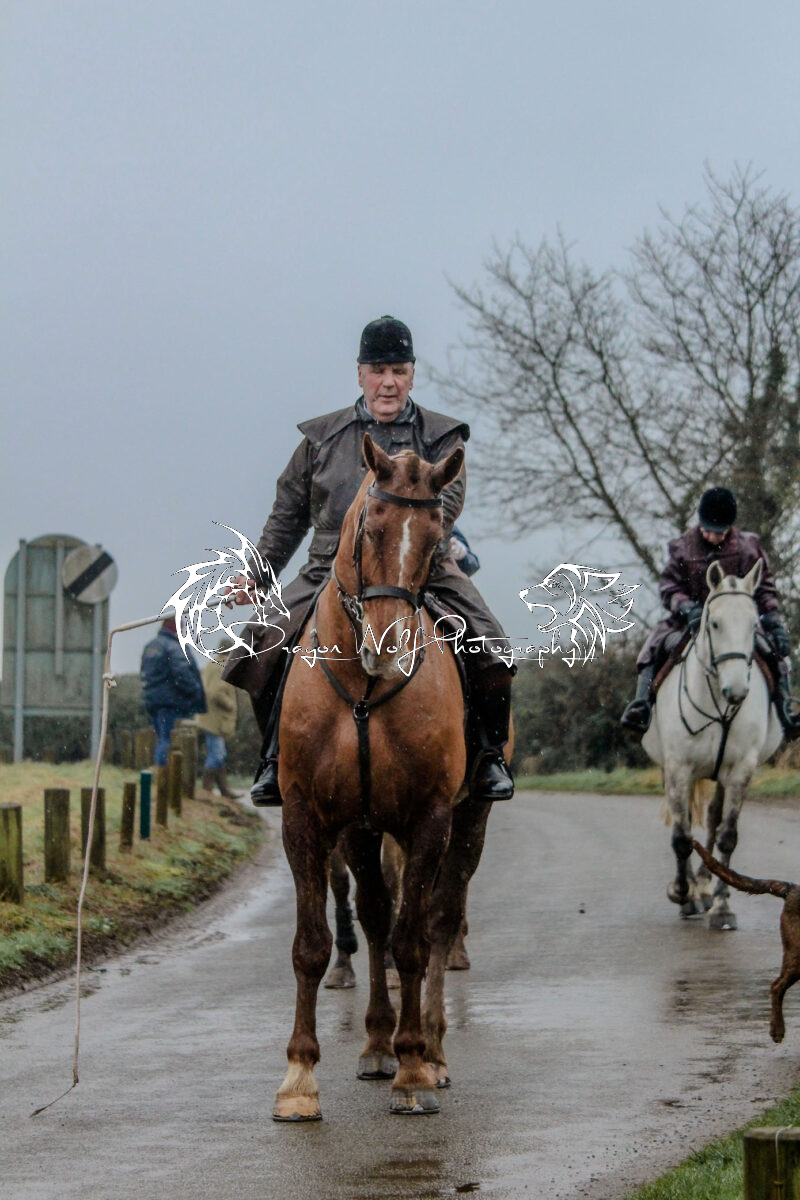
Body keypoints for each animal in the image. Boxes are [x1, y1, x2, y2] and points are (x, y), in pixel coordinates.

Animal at [273, 432, 486, 1120]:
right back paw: (375, 1043)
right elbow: (313, 945)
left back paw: (432, 1051)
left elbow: (414, 940)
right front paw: (299, 1078)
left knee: (440, 921)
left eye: (437, 535)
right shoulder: (308, 817)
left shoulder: (429, 818)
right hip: (362, 830)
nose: (388, 646)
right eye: (371, 526)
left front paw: (413, 1069)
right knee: (372, 918)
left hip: (469, 821)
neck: (364, 688)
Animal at [642, 559, 783, 929]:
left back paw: (705, 887)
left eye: (753, 624)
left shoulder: (741, 769)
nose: (737, 691)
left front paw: (721, 907)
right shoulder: (679, 767)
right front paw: (682, 893)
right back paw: (692, 891)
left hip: (720, 774)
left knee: (712, 820)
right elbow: (681, 837)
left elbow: (726, 836)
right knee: (687, 823)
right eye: (714, 623)